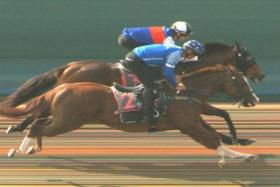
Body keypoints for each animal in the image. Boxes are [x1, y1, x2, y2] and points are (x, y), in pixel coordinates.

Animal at [3, 64, 260, 167]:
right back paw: (20, 149)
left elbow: (218, 127)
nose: (255, 99)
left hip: (63, 118)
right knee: (37, 125)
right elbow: (212, 138)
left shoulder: (195, 115)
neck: (184, 91)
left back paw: (30, 146)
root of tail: (61, 86)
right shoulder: (187, 123)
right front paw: (227, 157)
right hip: (68, 121)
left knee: (39, 121)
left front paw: (243, 150)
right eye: (240, 80)